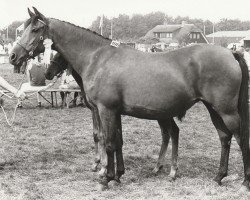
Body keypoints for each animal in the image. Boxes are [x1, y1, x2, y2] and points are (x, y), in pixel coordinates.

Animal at [8, 7, 249, 191]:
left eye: (36, 29)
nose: (12, 56)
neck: (98, 58)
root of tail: (230, 53)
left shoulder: (106, 110)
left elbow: (108, 142)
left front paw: (105, 178)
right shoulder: (113, 112)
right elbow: (115, 141)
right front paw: (116, 175)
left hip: (226, 111)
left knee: (239, 138)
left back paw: (244, 182)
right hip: (213, 109)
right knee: (224, 138)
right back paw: (218, 177)